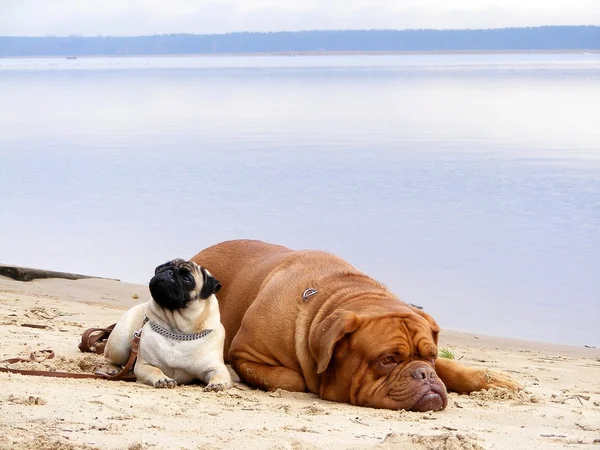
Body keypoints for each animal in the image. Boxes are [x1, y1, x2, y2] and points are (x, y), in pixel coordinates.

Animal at [192, 241, 520, 410]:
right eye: (388, 360)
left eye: (429, 356)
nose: (424, 374)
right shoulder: (247, 354)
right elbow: (294, 379)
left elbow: (451, 368)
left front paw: (493, 380)